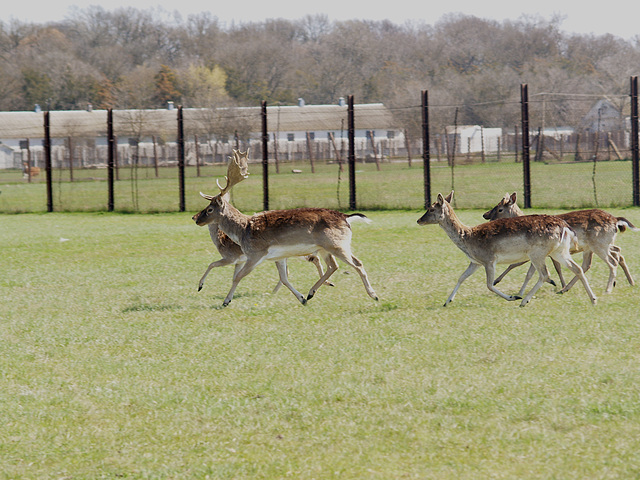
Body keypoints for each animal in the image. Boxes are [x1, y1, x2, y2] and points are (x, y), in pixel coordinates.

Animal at [192, 150, 378, 308]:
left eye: (210, 209)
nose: (195, 219)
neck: (242, 231)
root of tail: (346, 217)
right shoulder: (278, 257)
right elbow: (284, 277)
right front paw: (301, 298)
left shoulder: (255, 254)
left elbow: (237, 276)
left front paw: (225, 300)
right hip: (326, 248)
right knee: (334, 266)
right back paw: (310, 293)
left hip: (336, 244)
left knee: (357, 264)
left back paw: (374, 295)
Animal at [418, 189, 596, 306]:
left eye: (431, 208)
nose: (419, 220)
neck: (468, 238)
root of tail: (566, 227)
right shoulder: (475, 262)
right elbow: (461, 277)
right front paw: (447, 301)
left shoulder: (489, 259)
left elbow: (489, 284)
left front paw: (512, 297)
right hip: (560, 251)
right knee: (577, 268)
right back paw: (593, 299)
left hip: (537, 253)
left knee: (545, 274)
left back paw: (524, 300)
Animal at [482, 193, 636, 294]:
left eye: (500, 209)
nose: (486, 216)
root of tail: (615, 220)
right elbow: (536, 270)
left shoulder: (538, 251)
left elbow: (520, 266)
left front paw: (499, 282)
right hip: (598, 245)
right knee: (609, 256)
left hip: (599, 244)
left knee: (611, 261)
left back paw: (608, 288)